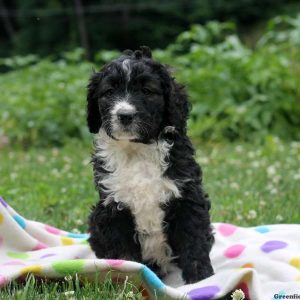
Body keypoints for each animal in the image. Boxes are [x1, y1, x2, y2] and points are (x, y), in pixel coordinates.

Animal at [85, 47, 214, 284]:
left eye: (146, 91)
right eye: (109, 92)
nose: (124, 115)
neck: (136, 150)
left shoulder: (186, 197)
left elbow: (194, 241)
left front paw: (202, 279)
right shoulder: (113, 209)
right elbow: (123, 253)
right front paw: (127, 279)